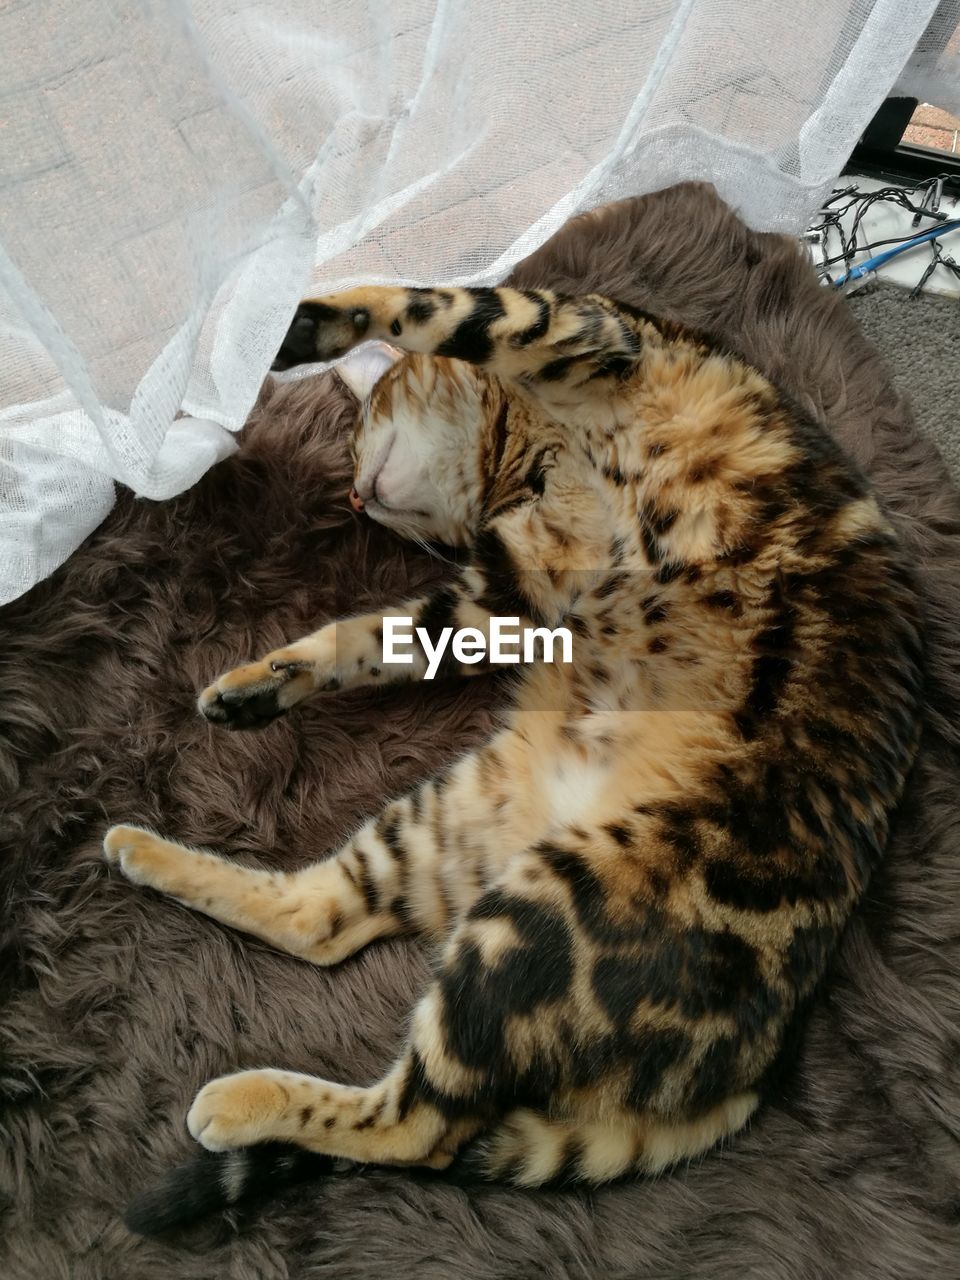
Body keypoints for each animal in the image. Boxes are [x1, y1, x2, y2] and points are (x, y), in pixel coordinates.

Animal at [103, 280, 926, 1228]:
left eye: (359, 431)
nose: (354, 499)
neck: (536, 457)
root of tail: (763, 1063)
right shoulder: (507, 593)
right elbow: (364, 637)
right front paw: (257, 685)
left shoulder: (578, 332)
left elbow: (424, 302)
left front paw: (295, 321)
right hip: (457, 829)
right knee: (323, 931)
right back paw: (142, 851)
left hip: (536, 915)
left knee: (418, 1126)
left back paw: (234, 1100)